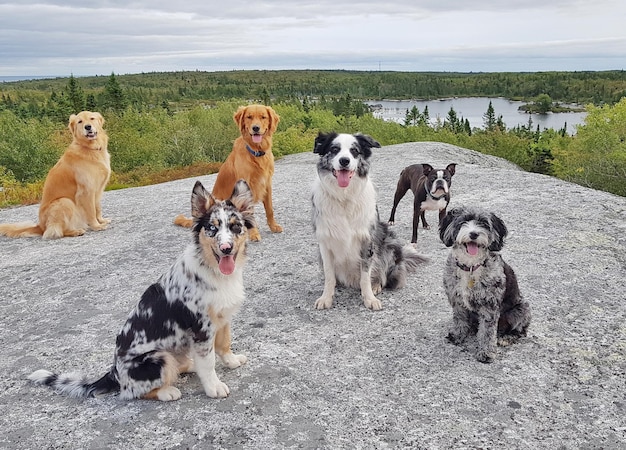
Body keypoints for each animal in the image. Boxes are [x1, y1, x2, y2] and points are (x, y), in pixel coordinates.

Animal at [28, 179, 258, 400]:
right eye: (212, 228)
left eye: (235, 227)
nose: (226, 249)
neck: (213, 270)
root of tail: (114, 374)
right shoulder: (201, 328)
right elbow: (208, 362)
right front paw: (213, 387)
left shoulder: (222, 319)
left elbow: (224, 343)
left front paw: (231, 361)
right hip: (159, 357)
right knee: (133, 392)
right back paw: (167, 392)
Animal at [310, 132, 426, 312]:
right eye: (334, 149)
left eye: (354, 151)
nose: (344, 161)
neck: (344, 196)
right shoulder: (324, 242)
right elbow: (329, 275)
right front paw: (326, 298)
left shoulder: (367, 241)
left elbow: (365, 275)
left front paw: (369, 298)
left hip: (389, 244)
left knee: (383, 275)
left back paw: (376, 285)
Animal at [436, 206, 528, 364]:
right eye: (464, 221)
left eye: (484, 223)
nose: (474, 234)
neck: (471, 266)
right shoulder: (457, 300)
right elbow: (459, 319)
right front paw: (458, 335)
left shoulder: (489, 305)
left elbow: (487, 332)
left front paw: (486, 353)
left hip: (521, 309)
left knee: (519, 330)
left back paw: (506, 337)